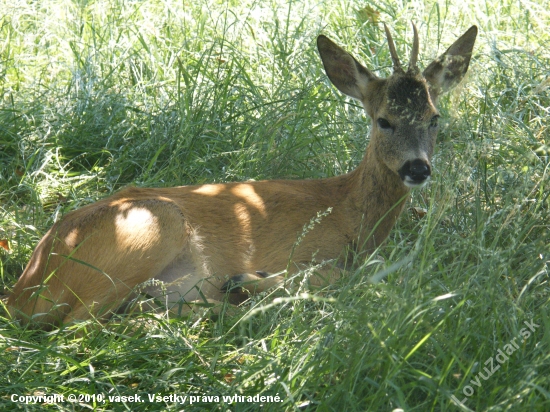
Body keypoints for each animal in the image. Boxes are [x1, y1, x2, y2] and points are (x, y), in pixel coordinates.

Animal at [6, 23, 476, 328]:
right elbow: (346, 277)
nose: (417, 168)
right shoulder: (308, 248)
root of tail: (22, 293)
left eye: (434, 118)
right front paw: (254, 282)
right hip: (152, 227)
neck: (350, 211)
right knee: (81, 322)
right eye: (384, 121)